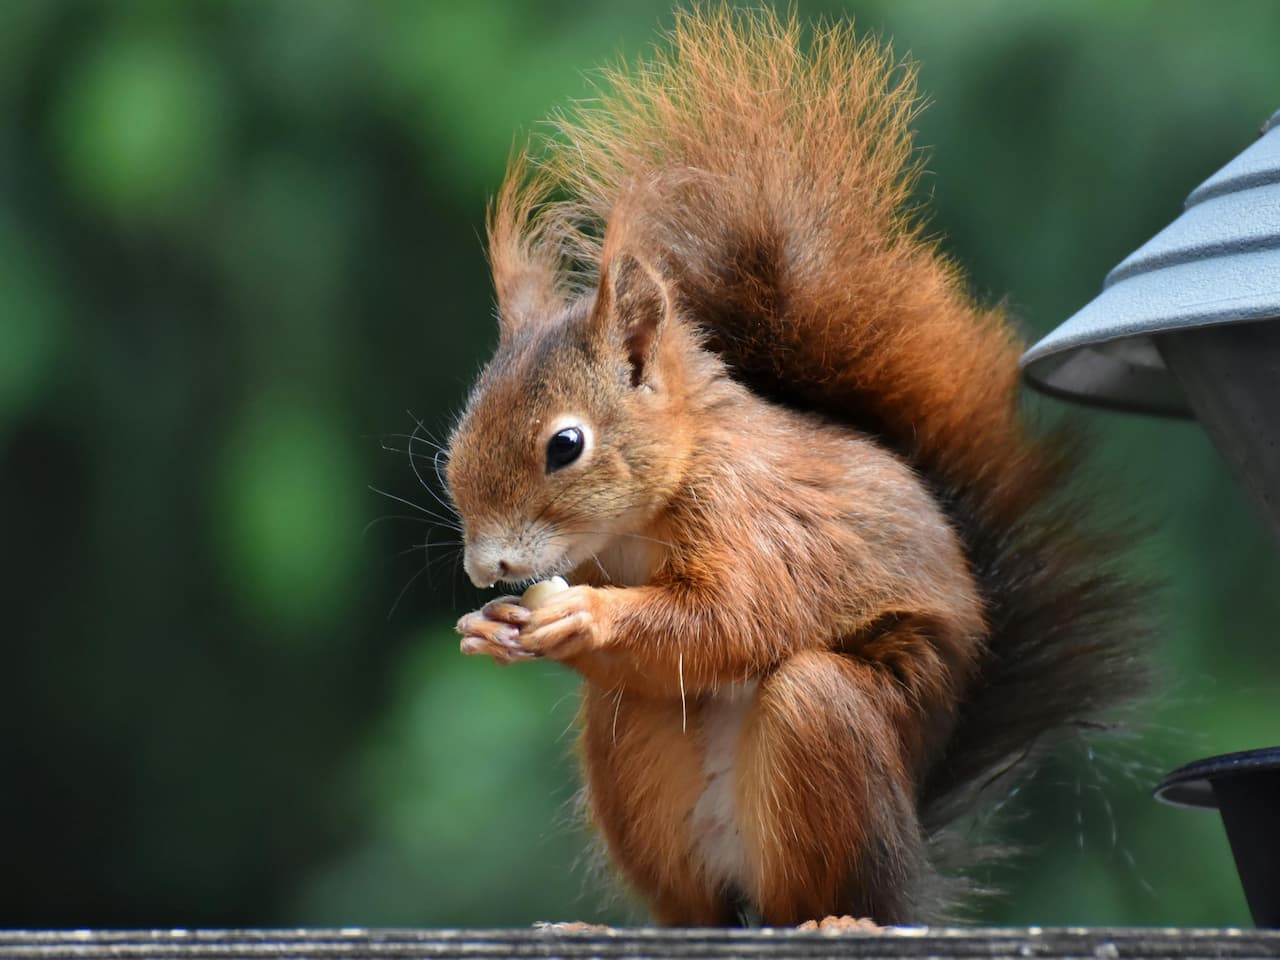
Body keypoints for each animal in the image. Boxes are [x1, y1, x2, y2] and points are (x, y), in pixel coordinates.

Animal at [446, 7, 1147, 926]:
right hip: (632, 745)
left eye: (565, 445)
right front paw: (490, 628)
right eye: (460, 433)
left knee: (828, 806)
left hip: (834, 725)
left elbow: (730, 620)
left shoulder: (754, 522)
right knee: (692, 896)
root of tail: (912, 860)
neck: (640, 521)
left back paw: (841, 914)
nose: (484, 566)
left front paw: (585, 616)